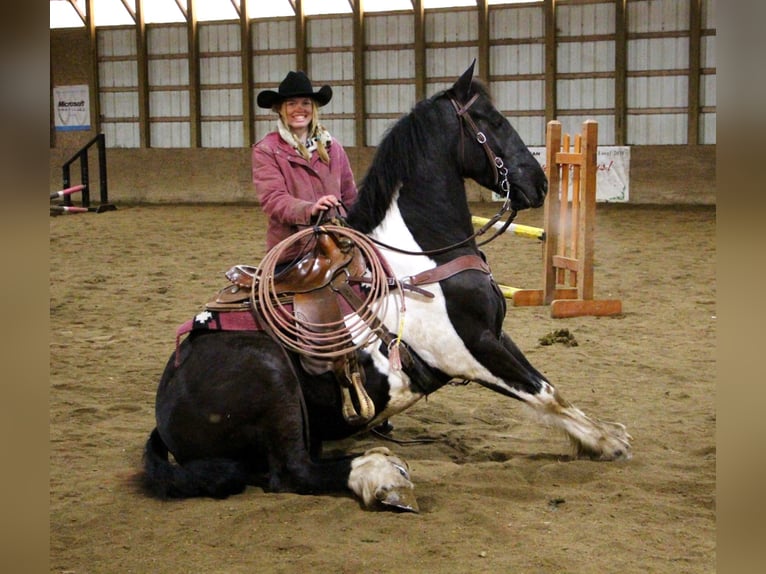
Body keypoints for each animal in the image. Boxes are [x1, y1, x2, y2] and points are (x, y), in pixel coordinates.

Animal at [141, 63, 632, 512]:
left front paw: (604, 433)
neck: (422, 258)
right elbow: (544, 393)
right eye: (491, 120)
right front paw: (607, 441)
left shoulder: (494, 334)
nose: (540, 182)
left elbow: (549, 389)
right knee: (291, 471)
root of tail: (165, 408)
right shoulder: (471, 350)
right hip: (270, 372)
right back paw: (380, 475)